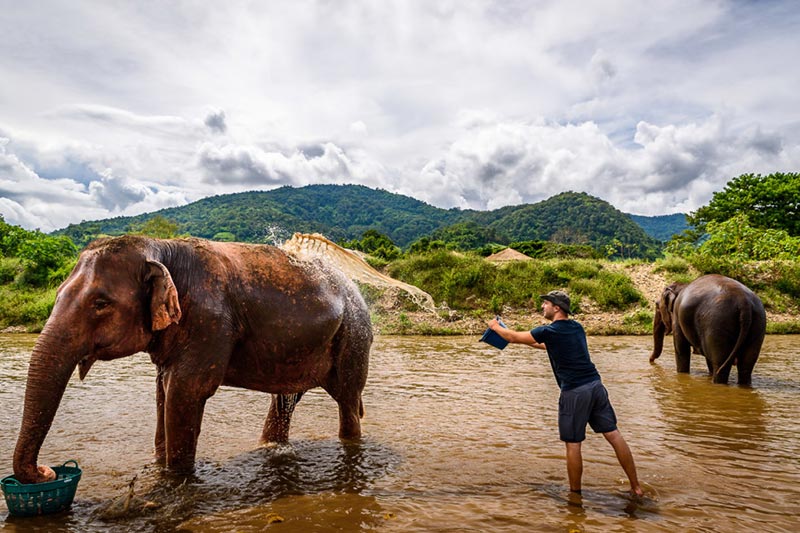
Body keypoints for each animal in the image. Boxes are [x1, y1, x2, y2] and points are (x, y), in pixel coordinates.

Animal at [12, 235, 374, 484]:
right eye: (58, 293)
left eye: (100, 304)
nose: (46, 472)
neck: (162, 250)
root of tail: (354, 287)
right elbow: (163, 392)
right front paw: (160, 468)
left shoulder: (208, 322)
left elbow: (184, 393)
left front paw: (176, 479)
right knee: (286, 399)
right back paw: (271, 446)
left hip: (353, 335)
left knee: (347, 399)